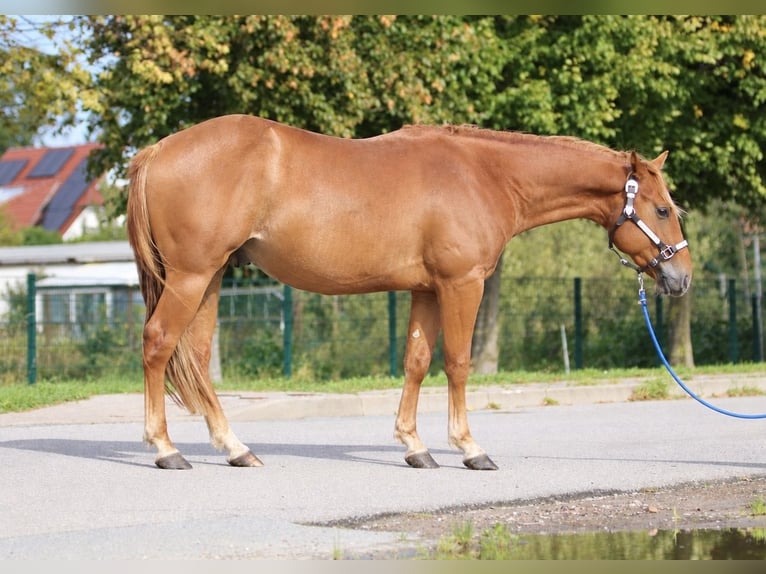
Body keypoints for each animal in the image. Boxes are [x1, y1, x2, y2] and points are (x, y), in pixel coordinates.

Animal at [126, 114, 692, 471]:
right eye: (664, 209)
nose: (681, 277)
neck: (483, 174)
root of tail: (158, 150)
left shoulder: (426, 290)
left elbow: (416, 362)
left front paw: (415, 447)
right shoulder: (462, 285)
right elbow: (458, 363)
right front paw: (469, 448)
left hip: (211, 278)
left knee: (197, 358)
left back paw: (235, 448)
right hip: (192, 275)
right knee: (157, 344)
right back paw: (165, 450)